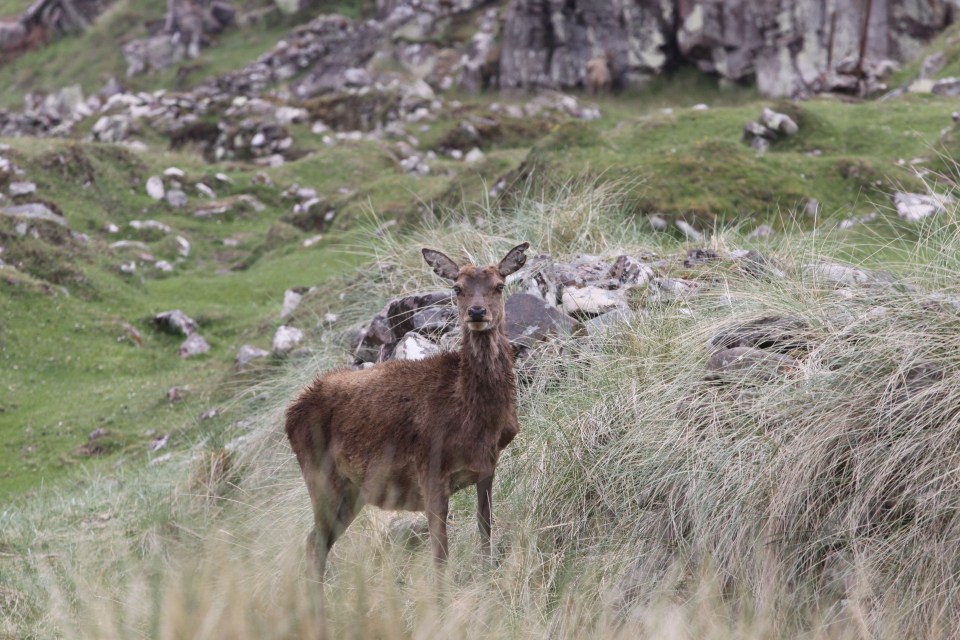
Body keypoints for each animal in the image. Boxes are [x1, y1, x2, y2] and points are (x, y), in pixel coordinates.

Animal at [284, 241, 528, 580]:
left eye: (499, 285)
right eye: (457, 287)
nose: (477, 312)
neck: (472, 416)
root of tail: (290, 414)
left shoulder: (487, 467)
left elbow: (485, 531)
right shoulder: (429, 469)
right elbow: (440, 557)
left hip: (352, 491)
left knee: (315, 543)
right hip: (320, 477)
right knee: (314, 544)